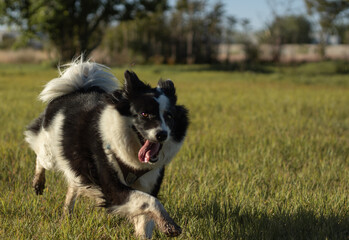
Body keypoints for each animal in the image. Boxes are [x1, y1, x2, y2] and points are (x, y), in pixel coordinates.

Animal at [25, 59, 188, 239]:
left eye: (169, 116)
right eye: (144, 114)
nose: (162, 134)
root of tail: (78, 89)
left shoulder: (149, 182)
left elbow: (145, 216)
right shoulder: (112, 187)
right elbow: (150, 201)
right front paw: (169, 225)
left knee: (73, 185)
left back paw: (66, 214)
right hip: (50, 151)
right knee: (40, 157)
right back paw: (38, 184)